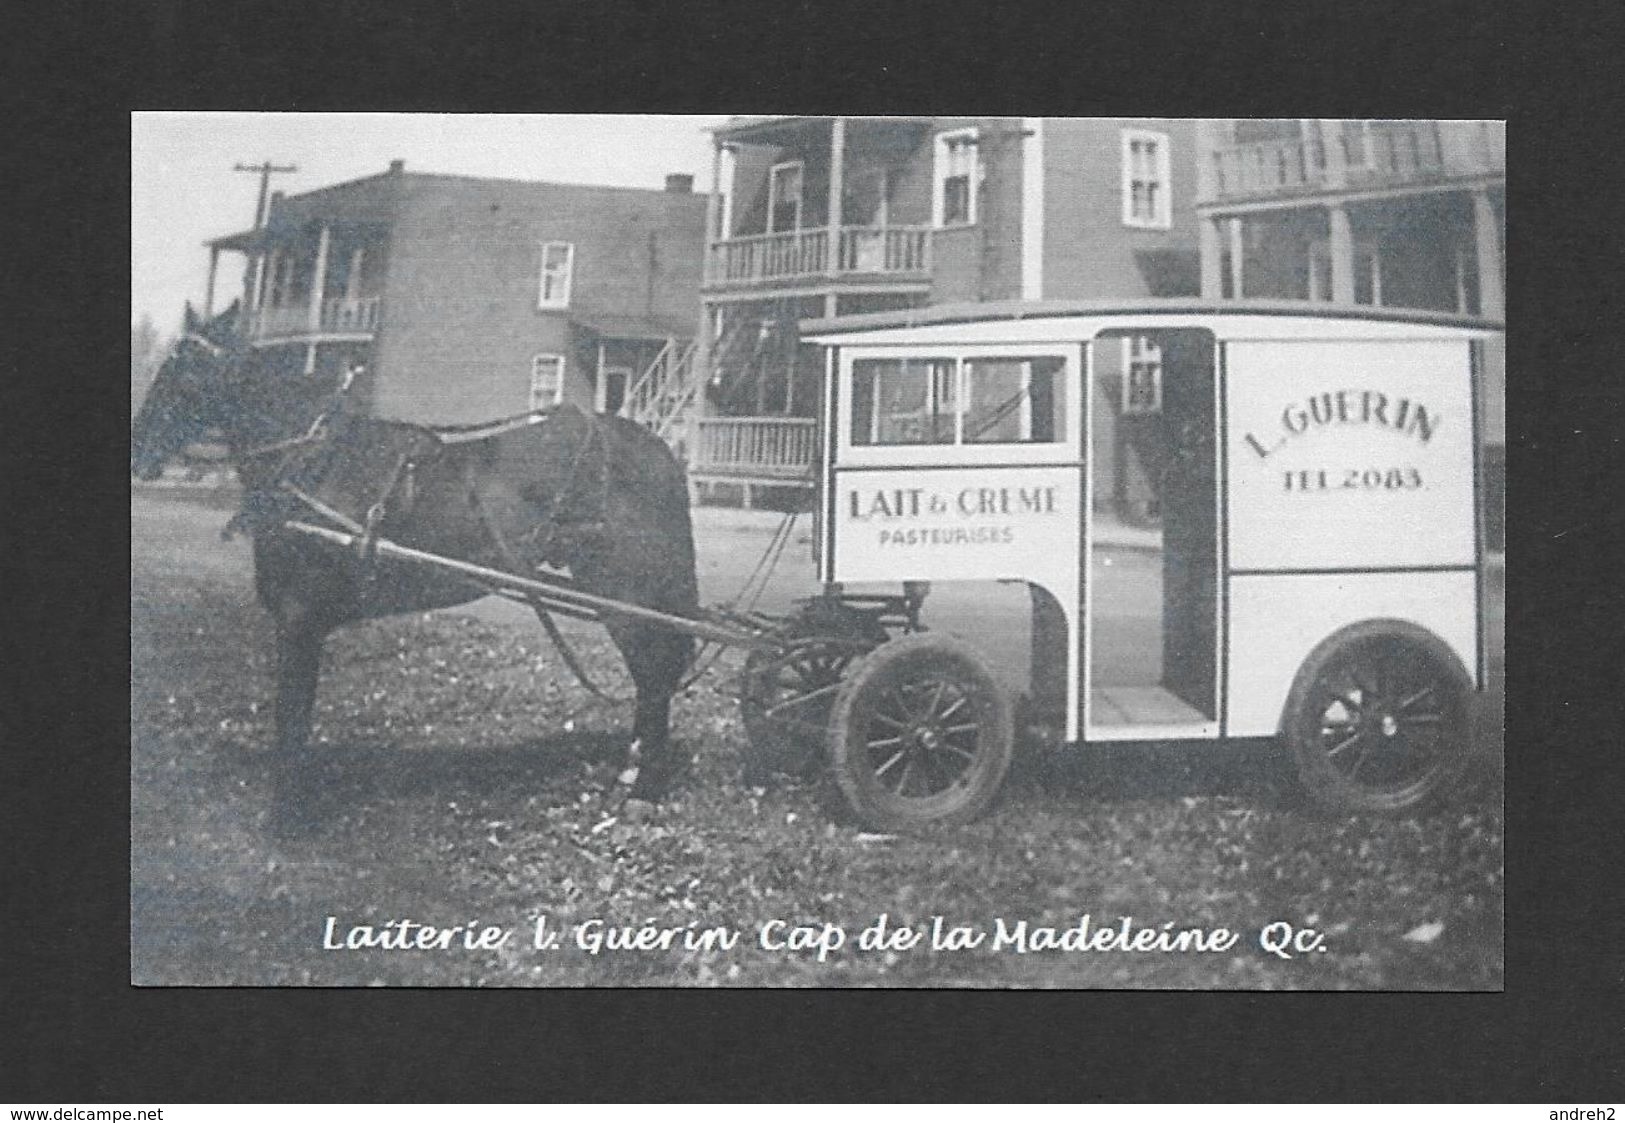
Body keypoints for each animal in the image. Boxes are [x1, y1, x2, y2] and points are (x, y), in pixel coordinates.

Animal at [130, 305, 702, 832]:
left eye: (183, 369)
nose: (138, 451)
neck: (317, 466)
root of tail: (659, 451)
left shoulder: (300, 620)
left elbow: (292, 716)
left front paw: (285, 819)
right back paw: (632, 773)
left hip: (627, 592)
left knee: (654, 674)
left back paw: (643, 790)